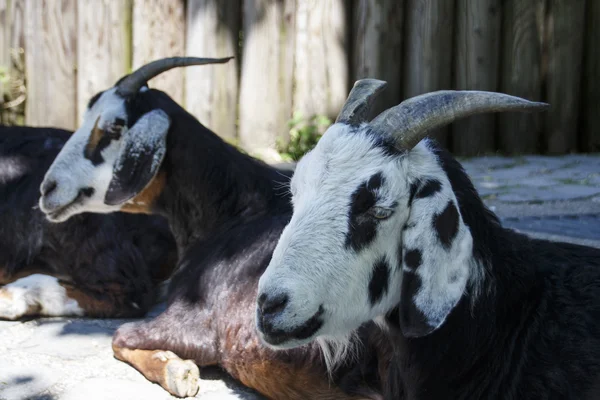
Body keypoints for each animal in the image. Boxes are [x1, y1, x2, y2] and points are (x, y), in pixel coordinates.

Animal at [37, 57, 386, 398]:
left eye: (114, 127)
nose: (48, 189)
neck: (233, 213)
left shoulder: (196, 326)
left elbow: (119, 336)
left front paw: (175, 369)